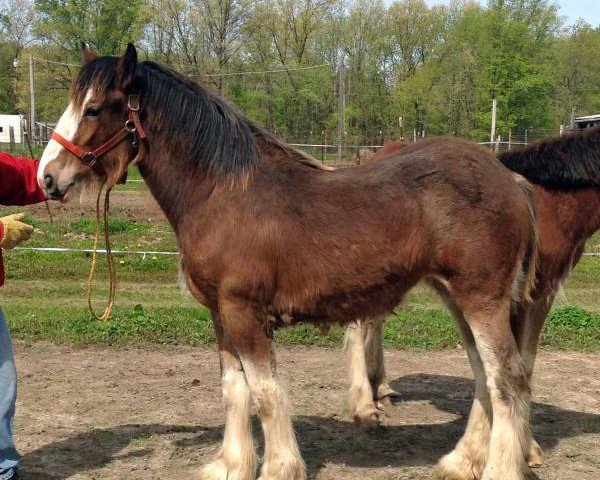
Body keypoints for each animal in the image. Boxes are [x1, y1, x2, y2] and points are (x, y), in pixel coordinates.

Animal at [39, 44, 536, 480]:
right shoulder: (221, 314)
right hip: (457, 299)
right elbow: (234, 391)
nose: (47, 178)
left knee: (505, 380)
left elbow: (265, 392)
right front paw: (231, 464)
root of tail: (510, 179)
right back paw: (461, 462)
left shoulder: (244, 312)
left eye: (94, 109)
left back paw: (498, 469)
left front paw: (279, 467)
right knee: (483, 377)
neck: (222, 194)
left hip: (481, 301)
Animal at [346, 126, 600, 468]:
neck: (551, 203)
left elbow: (520, 364)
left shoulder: (537, 296)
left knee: (374, 323)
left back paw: (380, 390)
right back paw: (364, 406)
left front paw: (518, 448)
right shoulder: (517, 298)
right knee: (358, 325)